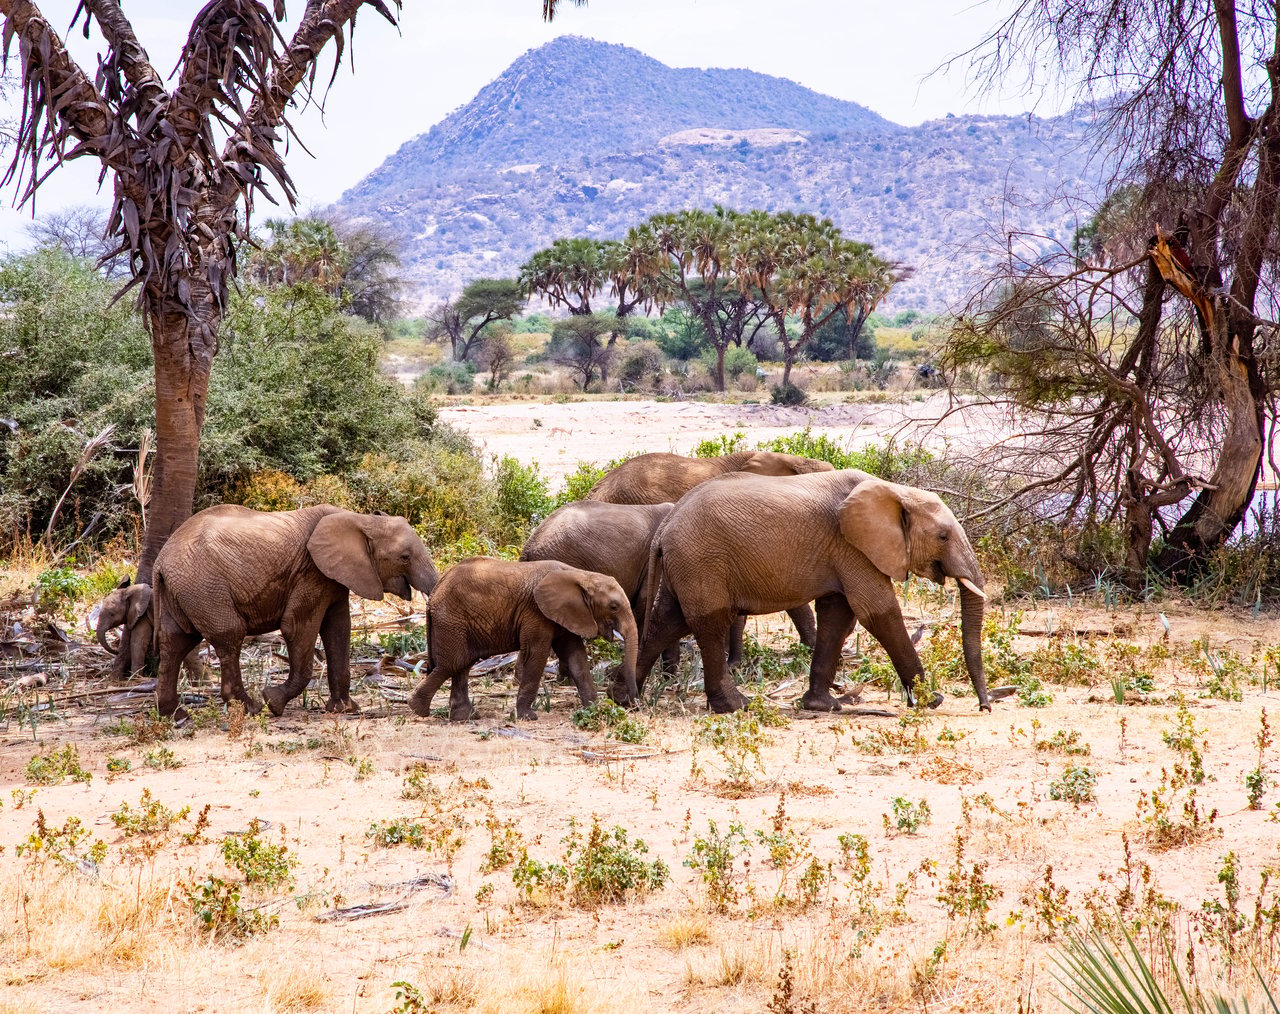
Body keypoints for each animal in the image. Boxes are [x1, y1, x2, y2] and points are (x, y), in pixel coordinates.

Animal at [152, 504, 438, 719]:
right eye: (404, 557)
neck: (361, 519)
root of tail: (160, 562)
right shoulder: (312, 573)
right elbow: (298, 627)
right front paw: (273, 702)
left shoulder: (333, 579)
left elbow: (339, 630)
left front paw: (344, 710)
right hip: (203, 586)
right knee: (229, 634)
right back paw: (252, 708)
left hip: (185, 591)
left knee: (175, 642)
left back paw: (175, 715)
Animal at [407, 558, 637, 722]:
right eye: (613, 607)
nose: (632, 704)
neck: (580, 575)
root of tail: (434, 593)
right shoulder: (536, 612)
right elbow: (537, 654)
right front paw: (527, 717)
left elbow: (576, 657)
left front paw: (595, 710)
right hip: (451, 620)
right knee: (454, 663)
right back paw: (417, 709)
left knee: (462, 664)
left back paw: (465, 717)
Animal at [622, 469, 990, 714]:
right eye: (943, 536)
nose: (984, 707)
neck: (896, 491)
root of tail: (665, 526)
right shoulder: (852, 548)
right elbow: (877, 611)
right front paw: (932, 701)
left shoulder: (843, 553)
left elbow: (837, 614)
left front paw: (823, 705)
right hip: (701, 561)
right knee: (709, 623)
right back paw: (737, 706)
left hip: (686, 565)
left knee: (668, 622)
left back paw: (623, 698)